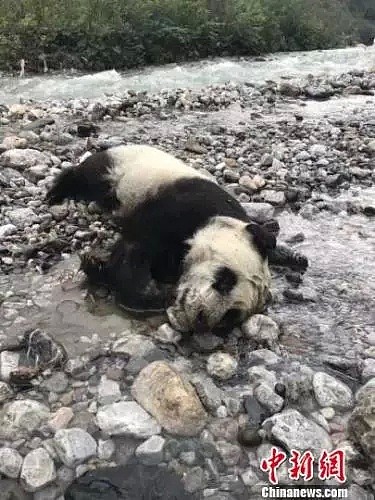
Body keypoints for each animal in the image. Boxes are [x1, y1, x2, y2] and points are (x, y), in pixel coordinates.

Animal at [46, 144, 276, 332]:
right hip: (120, 167)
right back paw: (56, 191)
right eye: (225, 280)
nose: (201, 319)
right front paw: (99, 266)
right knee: (86, 175)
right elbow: (134, 249)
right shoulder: (182, 207)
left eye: (231, 315)